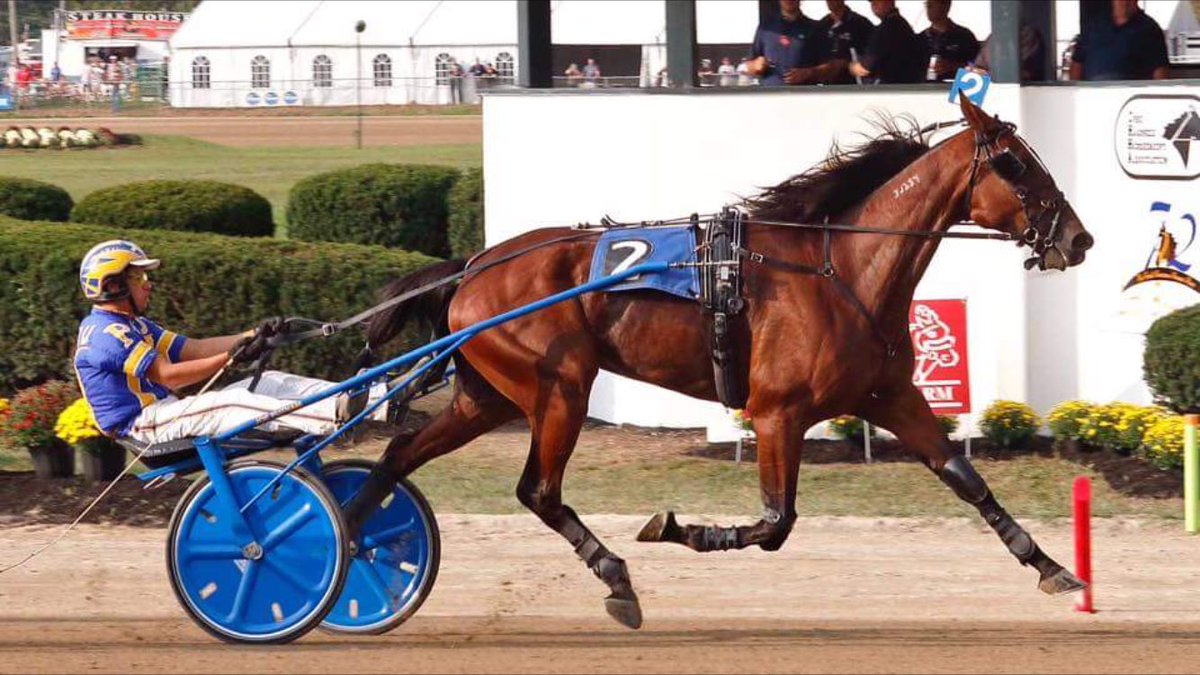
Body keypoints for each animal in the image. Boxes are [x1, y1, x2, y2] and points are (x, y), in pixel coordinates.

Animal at [345, 97, 1095, 629]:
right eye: (1015, 164)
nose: (1078, 237)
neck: (840, 268)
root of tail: (473, 266)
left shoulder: (890, 395)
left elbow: (967, 479)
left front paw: (1053, 567)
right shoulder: (777, 413)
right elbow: (775, 522)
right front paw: (679, 527)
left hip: (488, 395)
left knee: (401, 454)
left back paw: (348, 535)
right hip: (559, 388)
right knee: (539, 490)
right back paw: (615, 576)